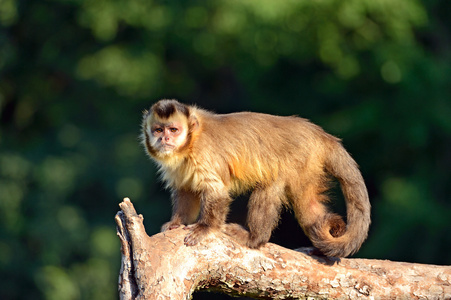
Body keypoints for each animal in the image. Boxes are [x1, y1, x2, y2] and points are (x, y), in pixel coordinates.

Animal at [141, 99, 370, 258]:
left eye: (173, 130)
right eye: (158, 130)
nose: (165, 138)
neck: (190, 143)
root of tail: (319, 133)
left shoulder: (203, 154)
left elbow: (217, 192)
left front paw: (205, 228)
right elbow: (186, 190)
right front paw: (176, 223)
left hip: (301, 157)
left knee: (271, 185)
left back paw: (254, 238)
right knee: (309, 207)